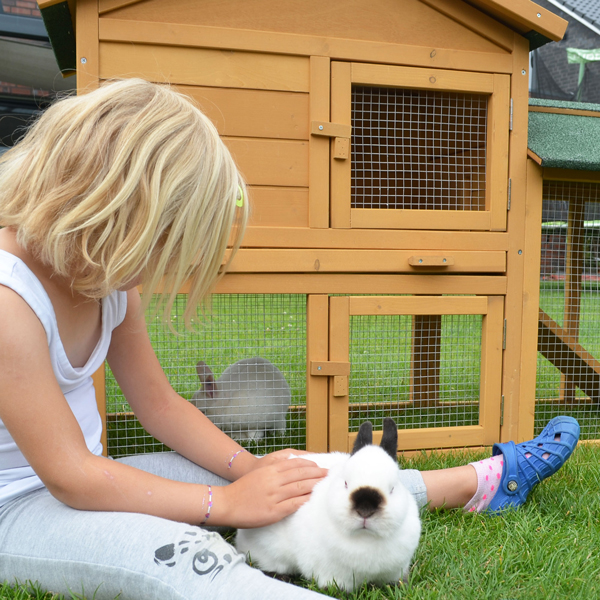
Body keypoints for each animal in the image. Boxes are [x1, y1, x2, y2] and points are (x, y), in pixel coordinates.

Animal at [234, 418, 422, 592]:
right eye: (345, 483)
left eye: (392, 488)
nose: (365, 510)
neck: (366, 538)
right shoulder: (333, 573)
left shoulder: (395, 570)